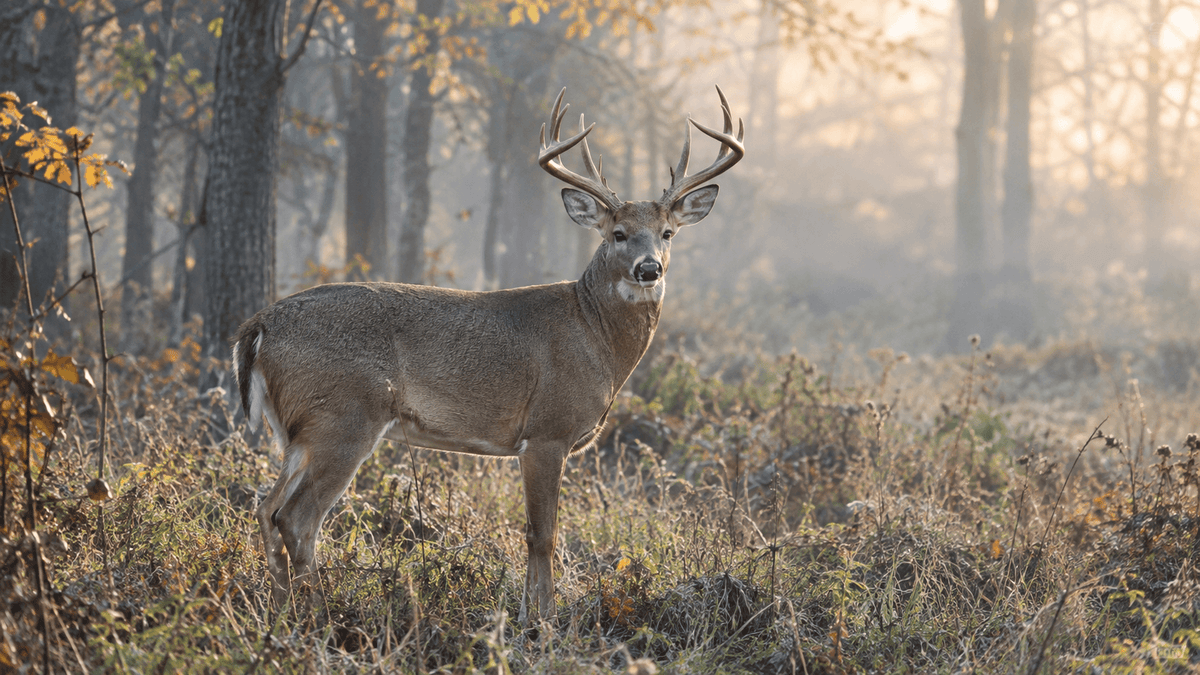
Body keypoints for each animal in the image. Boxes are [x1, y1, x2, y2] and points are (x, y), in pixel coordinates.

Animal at [232, 86, 744, 625]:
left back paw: (280, 614)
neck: (595, 337)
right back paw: (319, 617)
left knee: (264, 507)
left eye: (668, 232)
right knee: (297, 518)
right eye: (617, 233)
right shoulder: (547, 431)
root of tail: (258, 326)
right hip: (344, 416)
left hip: (297, 430)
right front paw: (544, 621)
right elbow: (544, 535)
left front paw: (523, 615)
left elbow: (533, 534)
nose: (649, 269)